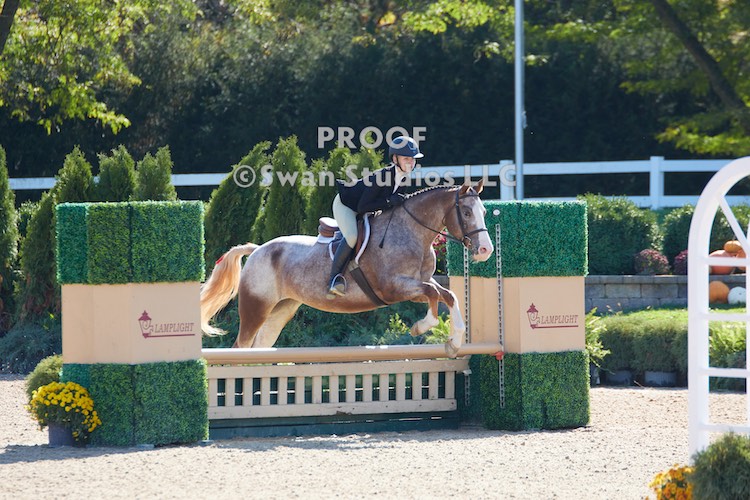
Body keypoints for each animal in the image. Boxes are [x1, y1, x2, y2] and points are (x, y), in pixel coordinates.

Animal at [200, 180, 494, 357]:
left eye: (483, 212)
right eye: (466, 213)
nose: (485, 250)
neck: (412, 231)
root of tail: (258, 249)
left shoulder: (418, 284)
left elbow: (446, 294)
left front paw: (454, 343)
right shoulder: (394, 287)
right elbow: (435, 296)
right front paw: (421, 328)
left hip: (280, 310)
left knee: (259, 346)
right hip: (256, 307)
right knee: (240, 347)